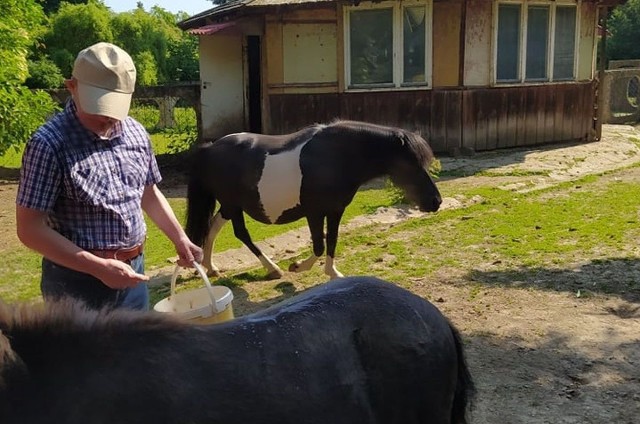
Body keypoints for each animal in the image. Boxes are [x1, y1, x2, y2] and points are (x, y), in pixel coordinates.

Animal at [185, 120, 440, 278]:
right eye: (411, 165)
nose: (436, 201)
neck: (336, 157)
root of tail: (210, 148)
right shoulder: (314, 212)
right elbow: (319, 245)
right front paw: (297, 266)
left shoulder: (336, 210)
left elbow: (332, 241)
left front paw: (333, 273)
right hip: (233, 205)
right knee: (241, 233)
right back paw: (272, 268)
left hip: (229, 205)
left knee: (213, 226)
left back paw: (211, 268)